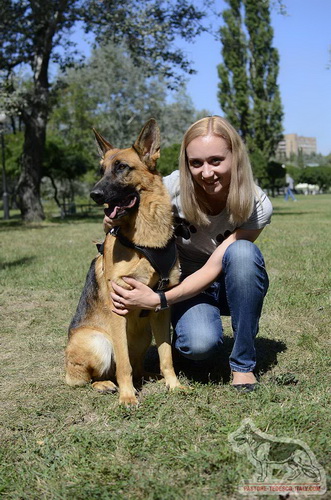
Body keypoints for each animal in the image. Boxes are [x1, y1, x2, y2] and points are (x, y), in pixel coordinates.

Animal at [65, 121, 183, 406]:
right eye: (102, 170)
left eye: (121, 167)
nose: (94, 194)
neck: (146, 240)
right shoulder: (118, 308)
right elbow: (124, 366)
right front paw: (127, 397)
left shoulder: (161, 308)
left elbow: (166, 356)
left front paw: (174, 385)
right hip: (98, 342)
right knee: (97, 375)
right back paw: (106, 384)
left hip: (143, 335)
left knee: (139, 365)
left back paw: (151, 377)